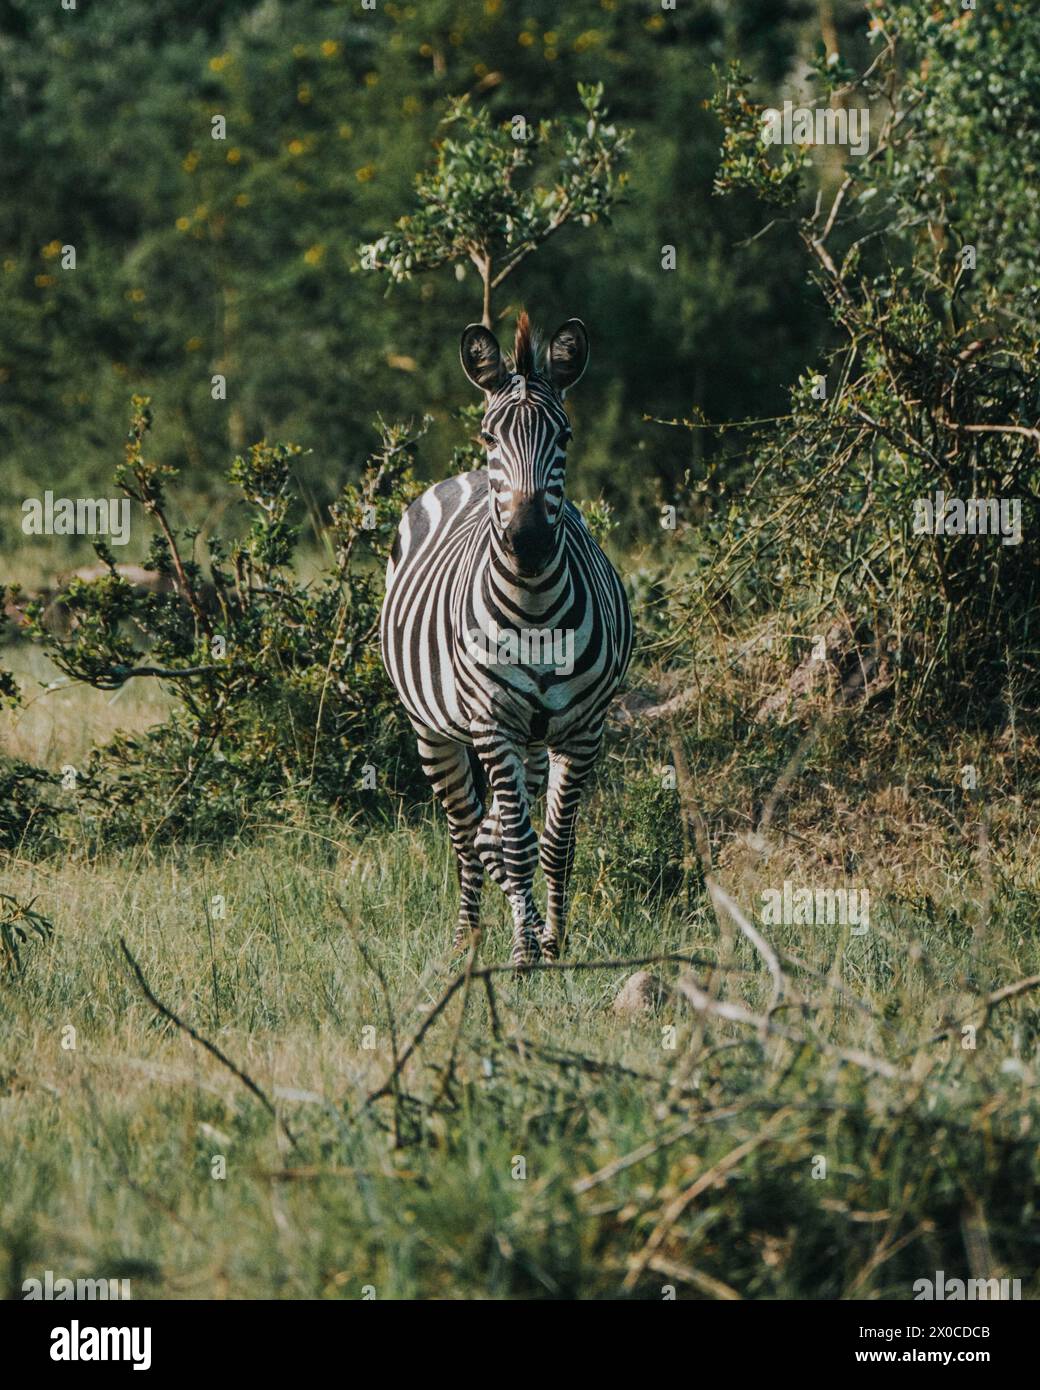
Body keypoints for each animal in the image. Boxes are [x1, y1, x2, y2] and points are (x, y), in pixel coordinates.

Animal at [380, 313, 633, 965]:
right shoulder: (492, 726)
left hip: (534, 742)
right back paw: (467, 936)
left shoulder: (583, 732)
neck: (536, 611)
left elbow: (554, 844)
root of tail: (461, 478)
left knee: (495, 826)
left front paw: (554, 940)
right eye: (491, 437)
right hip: (434, 731)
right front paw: (524, 953)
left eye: (565, 436)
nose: (529, 541)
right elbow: (516, 844)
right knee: (465, 830)